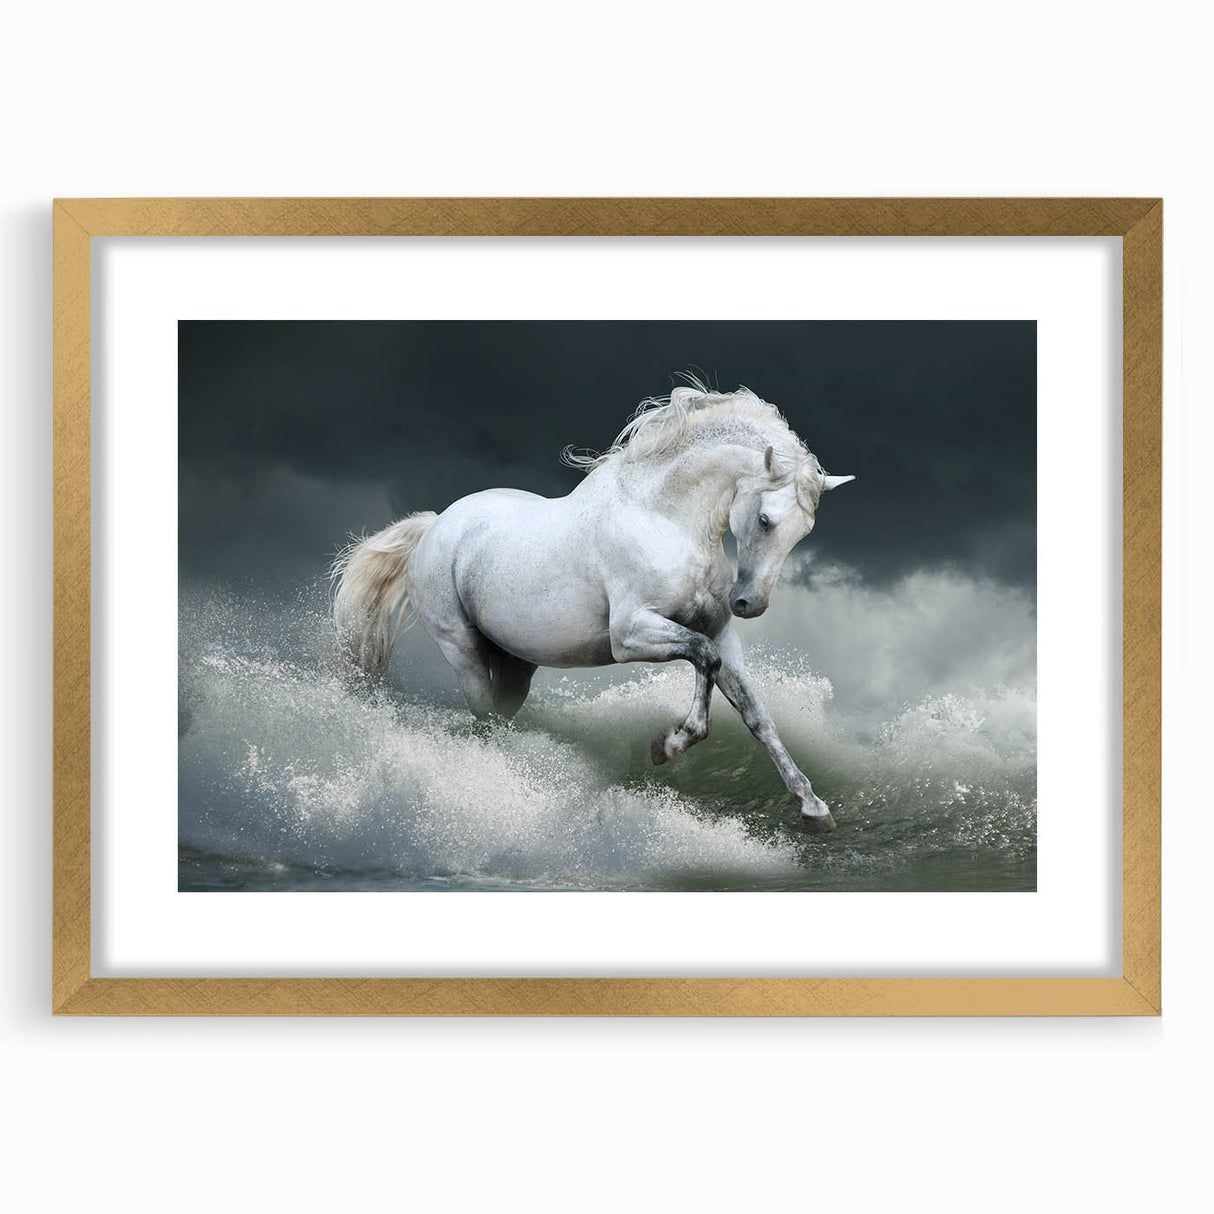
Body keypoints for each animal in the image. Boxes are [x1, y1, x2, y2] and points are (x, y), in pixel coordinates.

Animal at [331, 383, 854, 831]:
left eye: (803, 531)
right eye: (765, 520)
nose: (749, 603)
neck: (662, 518)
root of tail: (435, 525)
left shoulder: (722, 634)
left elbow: (755, 713)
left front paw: (814, 808)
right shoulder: (630, 636)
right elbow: (703, 659)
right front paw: (667, 745)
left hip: (516, 666)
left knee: (500, 715)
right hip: (462, 650)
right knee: (482, 716)